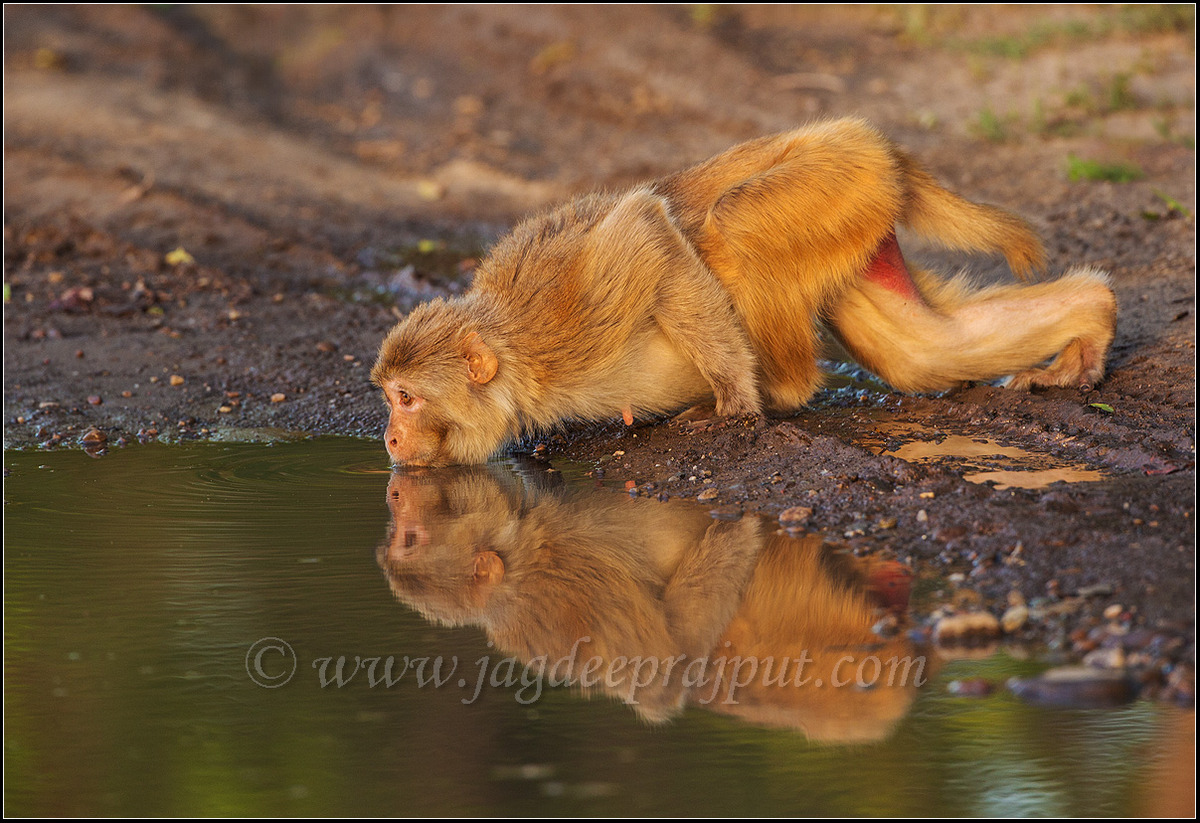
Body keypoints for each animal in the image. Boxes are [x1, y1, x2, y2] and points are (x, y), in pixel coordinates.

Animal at [372, 117, 1117, 466]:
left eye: (406, 398)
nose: (388, 438)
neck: (518, 361)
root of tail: (868, 138)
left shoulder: (565, 318)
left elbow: (645, 227)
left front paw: (734, 403)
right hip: (857, 211)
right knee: (921, 351)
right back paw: (1093, 314)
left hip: (831, 178)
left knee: (727, 225)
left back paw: (779, 390)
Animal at [377, 464, 926, 739]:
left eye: (410, 539)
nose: (394, 497)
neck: (522, 555)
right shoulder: (576, 573)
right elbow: (663, 677)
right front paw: (745, 533)